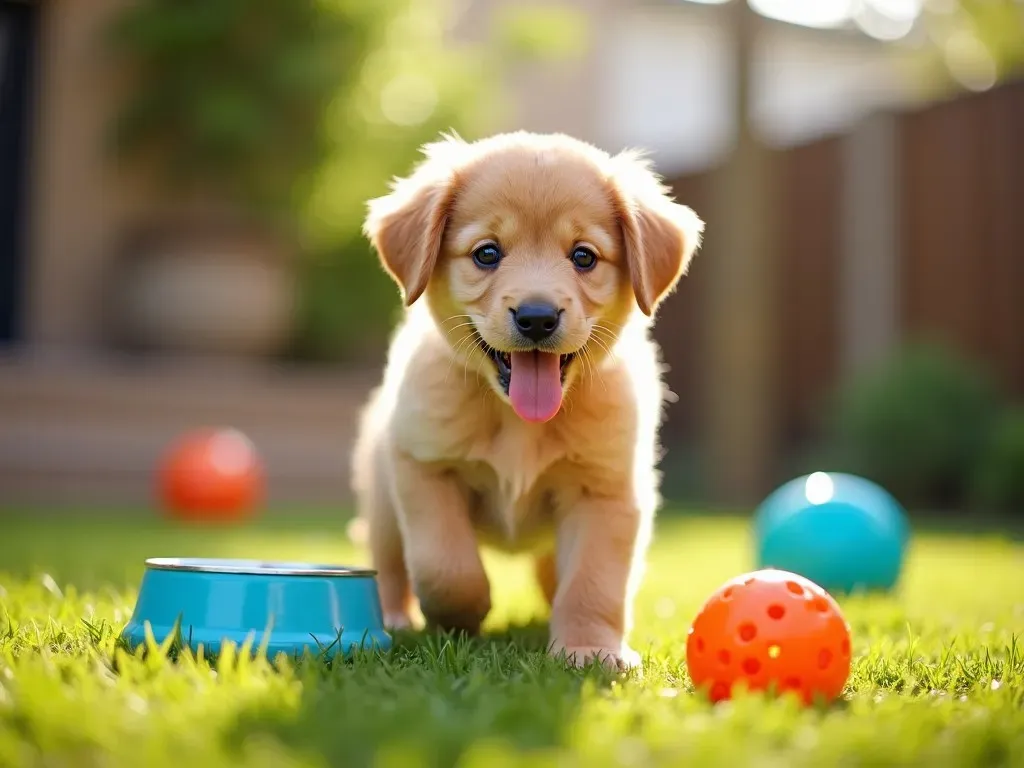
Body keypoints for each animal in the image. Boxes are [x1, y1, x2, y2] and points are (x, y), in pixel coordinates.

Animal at [352, 129, 704, 671]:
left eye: (584, 257)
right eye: (486, 253)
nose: (537, 318)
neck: (517, 418)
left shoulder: (606, 491)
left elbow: (594, 583)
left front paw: (588, 650)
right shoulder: (425, 468)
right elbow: (445, 566)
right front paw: (465, 615)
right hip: (384, 503)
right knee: (389, 566)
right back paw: (395, 618)